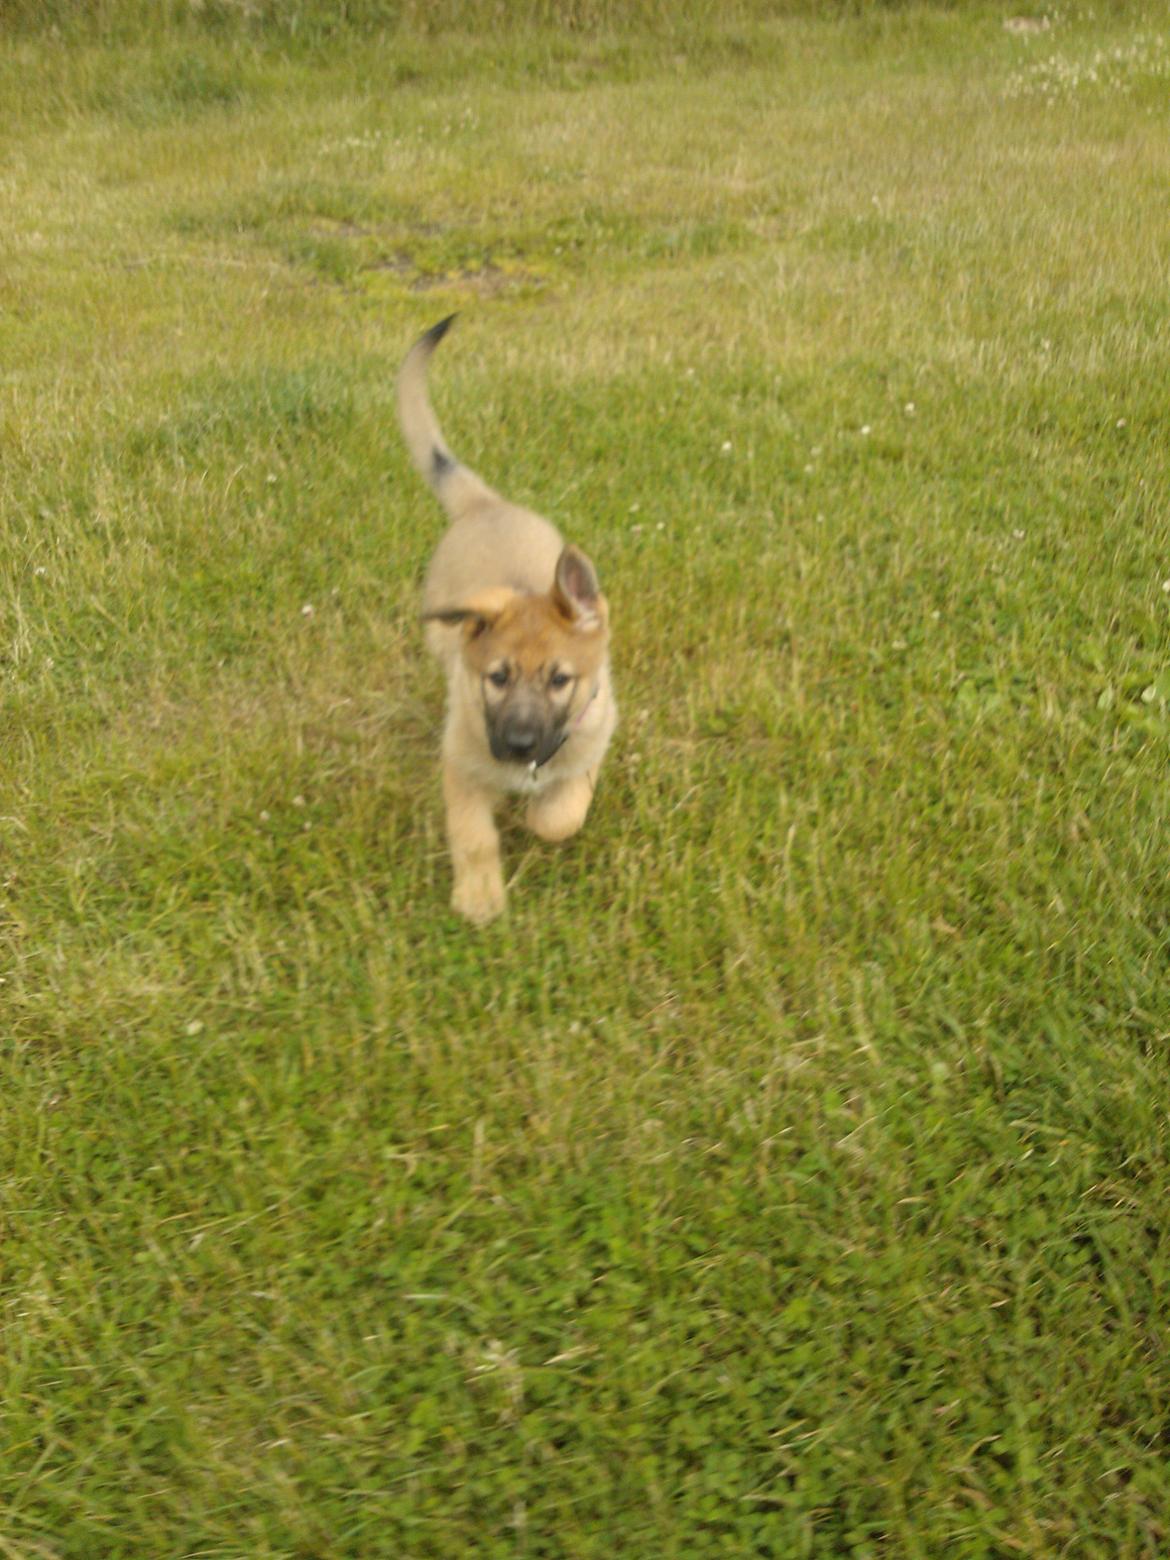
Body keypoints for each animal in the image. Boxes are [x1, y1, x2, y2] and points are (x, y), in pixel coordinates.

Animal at [399, 318, 617, 923]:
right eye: (496, 677)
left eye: (560, 679)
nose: (519, 745)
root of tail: (484, 506)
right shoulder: (461, 768)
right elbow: (473, 835)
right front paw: (479, 896)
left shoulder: (592, 739)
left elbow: (562, 814)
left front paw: (541, 815)